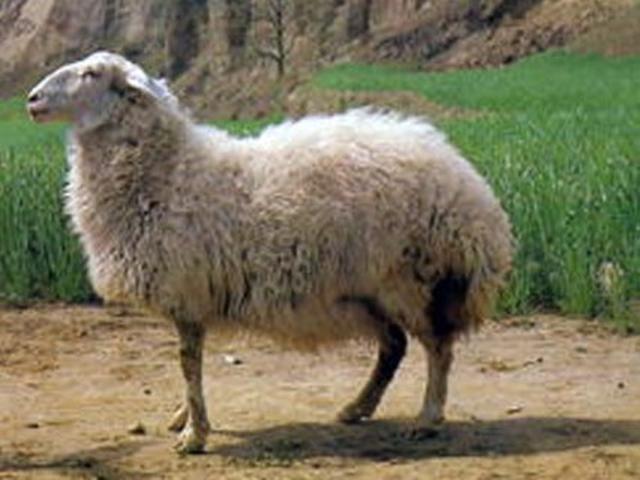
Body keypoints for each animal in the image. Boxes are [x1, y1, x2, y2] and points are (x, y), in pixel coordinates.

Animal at [27, 51, 514, 454]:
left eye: (92, 73)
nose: (31, 99)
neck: (167, 173)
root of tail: (472, 189)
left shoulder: (186, 293)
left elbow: (187, 365)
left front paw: (194, 435)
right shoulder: (191, 297)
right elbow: (189, 366)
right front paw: (184, 418)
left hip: (412, 279)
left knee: (437, 348)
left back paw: (427, 419)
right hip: (369, 289)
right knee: (394, 347)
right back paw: (356, 408)